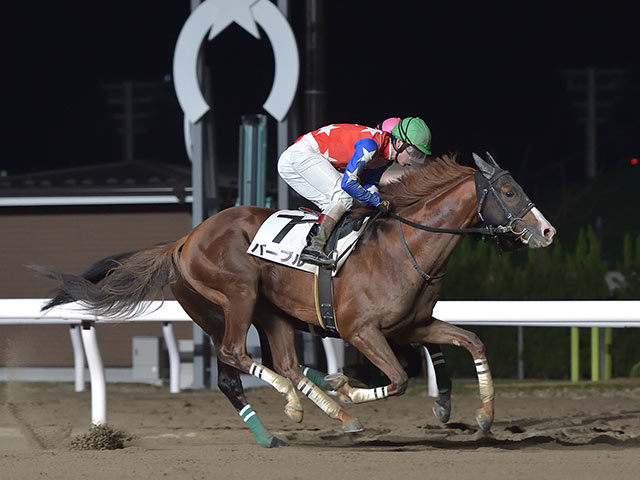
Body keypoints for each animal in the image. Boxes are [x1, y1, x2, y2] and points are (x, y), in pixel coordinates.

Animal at [35, 153, 556, 446]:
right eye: (508, 190)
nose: (547, 231)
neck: (404, 245)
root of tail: (184, 240)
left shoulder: (413, 325)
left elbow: (471, 342)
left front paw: (484, 416)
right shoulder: (361, 331)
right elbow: (398, 379)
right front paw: (347, 388)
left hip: (268, 313)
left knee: (277, 363)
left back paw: (307, 412)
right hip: (235, 297)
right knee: (235, 358)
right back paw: (300, 409)